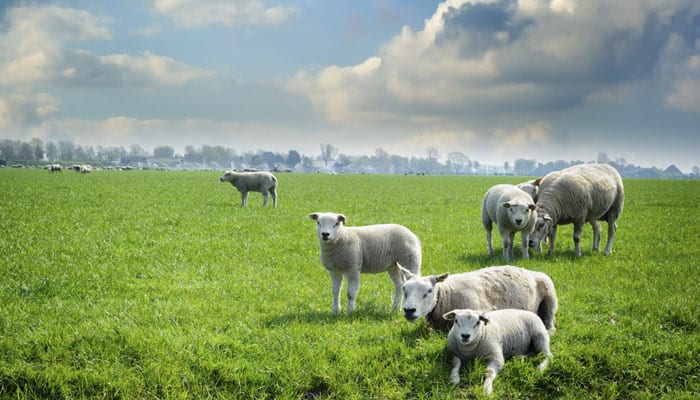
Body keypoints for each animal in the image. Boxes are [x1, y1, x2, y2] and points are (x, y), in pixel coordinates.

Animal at [400, 264, 556, 332]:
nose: (409, 310)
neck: (446, 295)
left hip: (551, 297)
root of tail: (529, 270)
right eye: (404, 289)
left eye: (429, 291)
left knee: (550, 323)